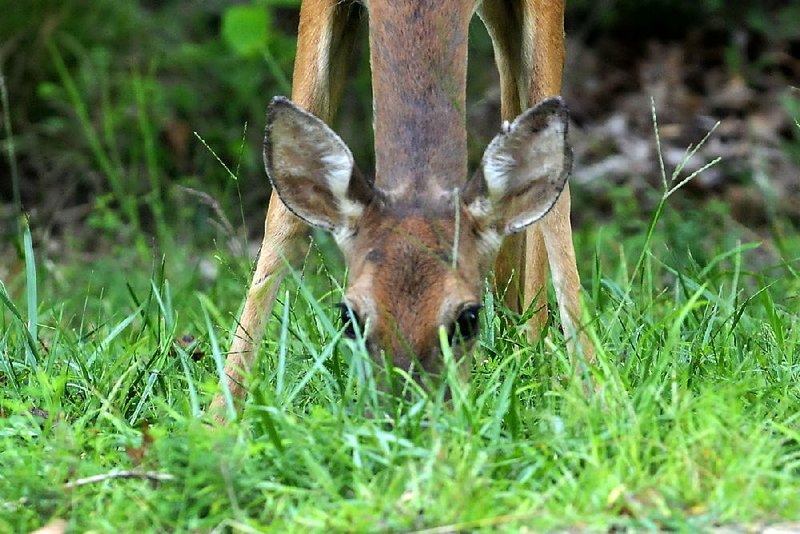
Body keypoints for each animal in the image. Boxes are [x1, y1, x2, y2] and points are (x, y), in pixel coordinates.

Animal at [209, 0, 592, 422]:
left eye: (468, 319)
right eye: (348, 317)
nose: (403, 420)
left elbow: (557, 209)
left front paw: (591, 394)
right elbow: (283, 216)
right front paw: (218, 418)